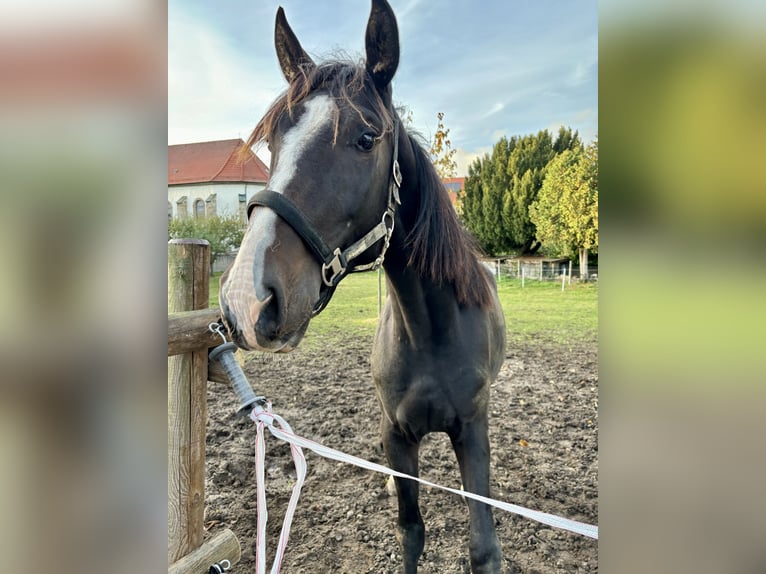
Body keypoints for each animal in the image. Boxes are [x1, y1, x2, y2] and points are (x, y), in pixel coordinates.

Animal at [220, 2, 510, 572]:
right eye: (274, 141)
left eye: (366, 137)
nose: (248, 299)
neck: (428, 331)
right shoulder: (396, 436)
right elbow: (411, 531)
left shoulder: (474, 431)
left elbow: (483, 548)